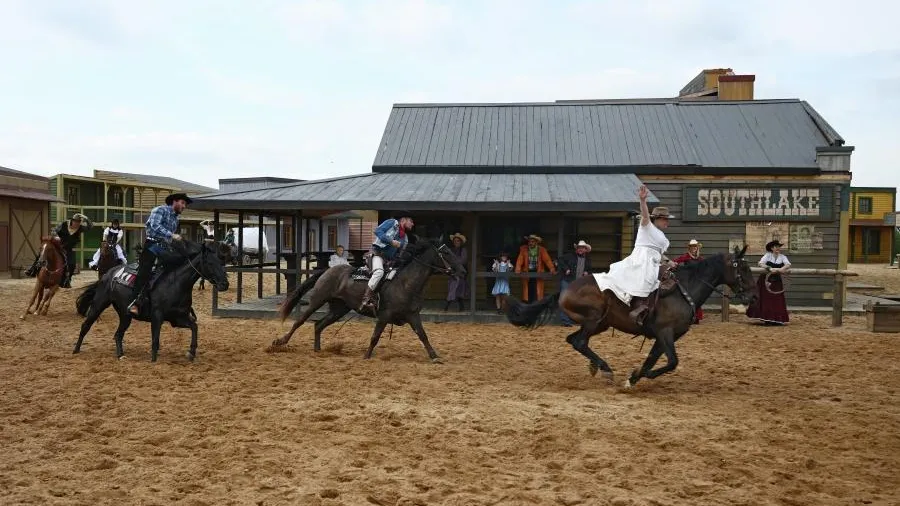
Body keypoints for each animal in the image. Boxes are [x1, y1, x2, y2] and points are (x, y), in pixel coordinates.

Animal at [74, 239, 234, 362]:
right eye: (210, 263)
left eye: (221, 262)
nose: (225, 284)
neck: (175, 284)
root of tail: (108, 274)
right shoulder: (157, 316)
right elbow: (155, 340)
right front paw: (153, 360)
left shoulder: (178, 318)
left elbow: (194, 327)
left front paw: (191, 352)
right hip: (98, 305)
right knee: (85, 326)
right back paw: (76, 350)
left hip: (125, 315)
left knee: (118, 334)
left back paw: (120, 355)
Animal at [270, 235, 468, 362]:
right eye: (447, 253)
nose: (463, 271)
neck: (405, 283)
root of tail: (327, 270)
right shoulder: (384, 316)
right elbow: (375, 336)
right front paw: (366, 356)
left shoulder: (413, 316)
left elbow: (423, 335)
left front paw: (434, 356)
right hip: (318, 300)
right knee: (300, 321)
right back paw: (280, 342)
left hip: (339, 309)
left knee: (318, 325)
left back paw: (318, 349)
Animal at [502, 246, 756, 388]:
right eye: (743, 268)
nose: (752, 296)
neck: (683, 290)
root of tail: (564, 290)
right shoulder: (665, 333)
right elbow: (672, 361)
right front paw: (640, 375)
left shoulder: (664, 337)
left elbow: (654, 359)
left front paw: (635, 377)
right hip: (593, 320)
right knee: (580, 341)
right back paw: (605, 369)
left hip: (600, 324)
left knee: (573, 340)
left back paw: (596, 366)